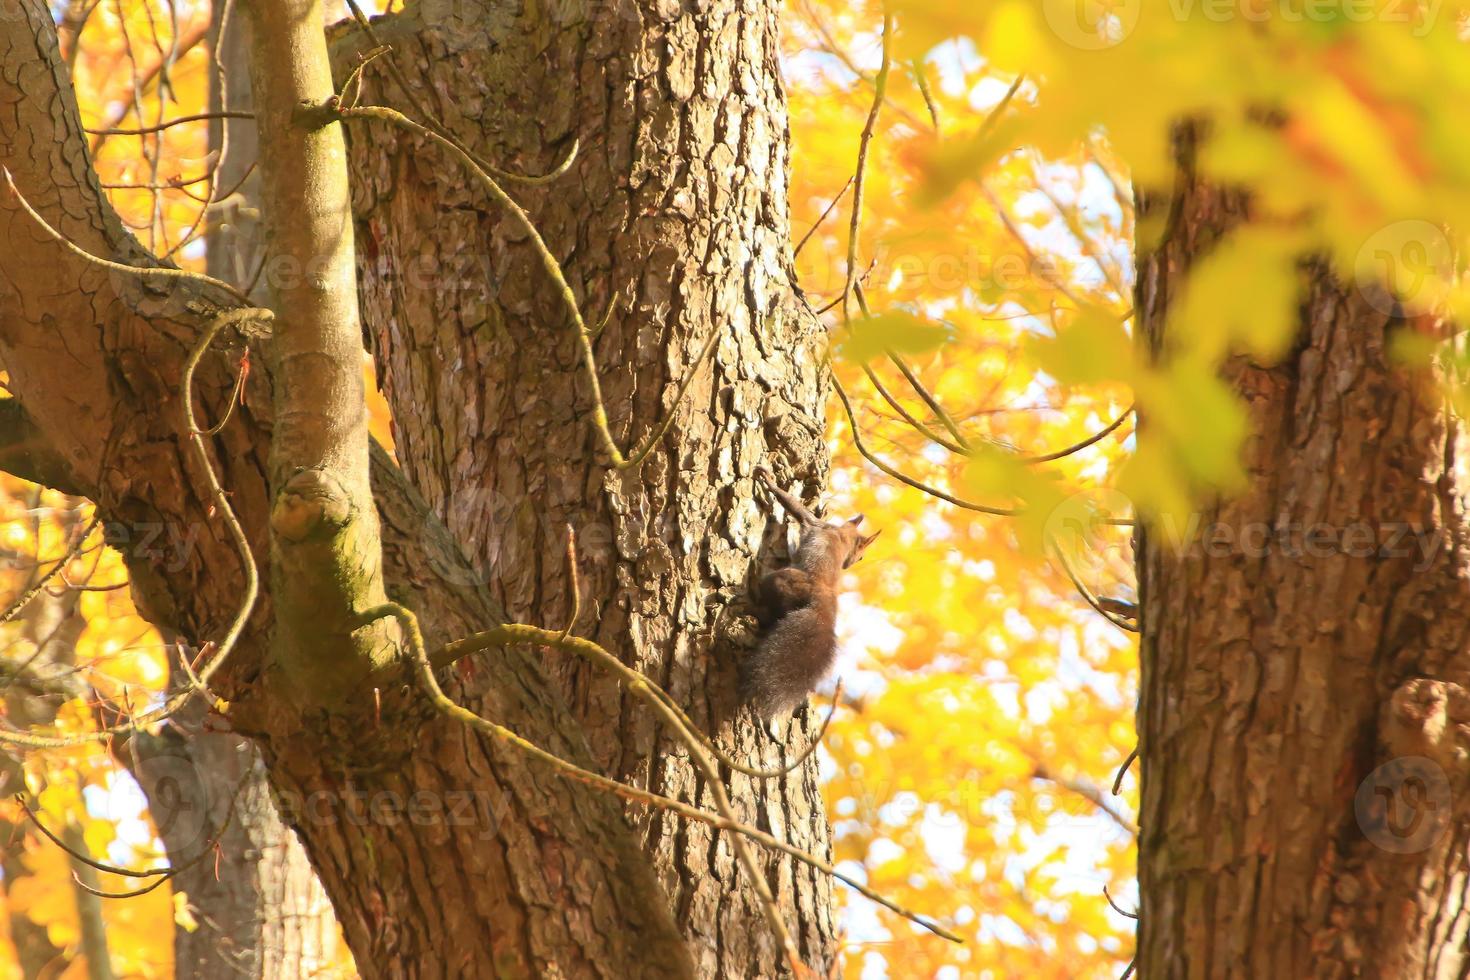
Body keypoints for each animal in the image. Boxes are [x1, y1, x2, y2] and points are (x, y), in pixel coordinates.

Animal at [740, 467, 876, 719]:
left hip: (784, 580)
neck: (842, 535)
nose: (850, 564)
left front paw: (769, 482)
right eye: (861, 556)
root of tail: (824, 610)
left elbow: (793, 506)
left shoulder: (815, 524)